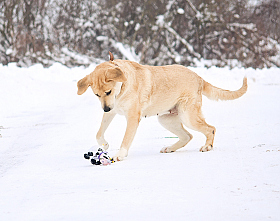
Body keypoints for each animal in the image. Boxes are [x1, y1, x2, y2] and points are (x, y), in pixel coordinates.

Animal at [77, 52, 247, 161]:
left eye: (108, 91)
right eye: (96, 95)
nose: (105, 108)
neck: (122, 87)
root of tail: (199, 78)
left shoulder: (132, 117)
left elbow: (125, 139)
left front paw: (120, 154)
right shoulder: (111, 111)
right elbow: (99, 133)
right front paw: (104, 144)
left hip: (188, 116)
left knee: (210, 128)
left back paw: (207, 146)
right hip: (166, 119)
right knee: (188, 136)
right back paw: (170, 148)